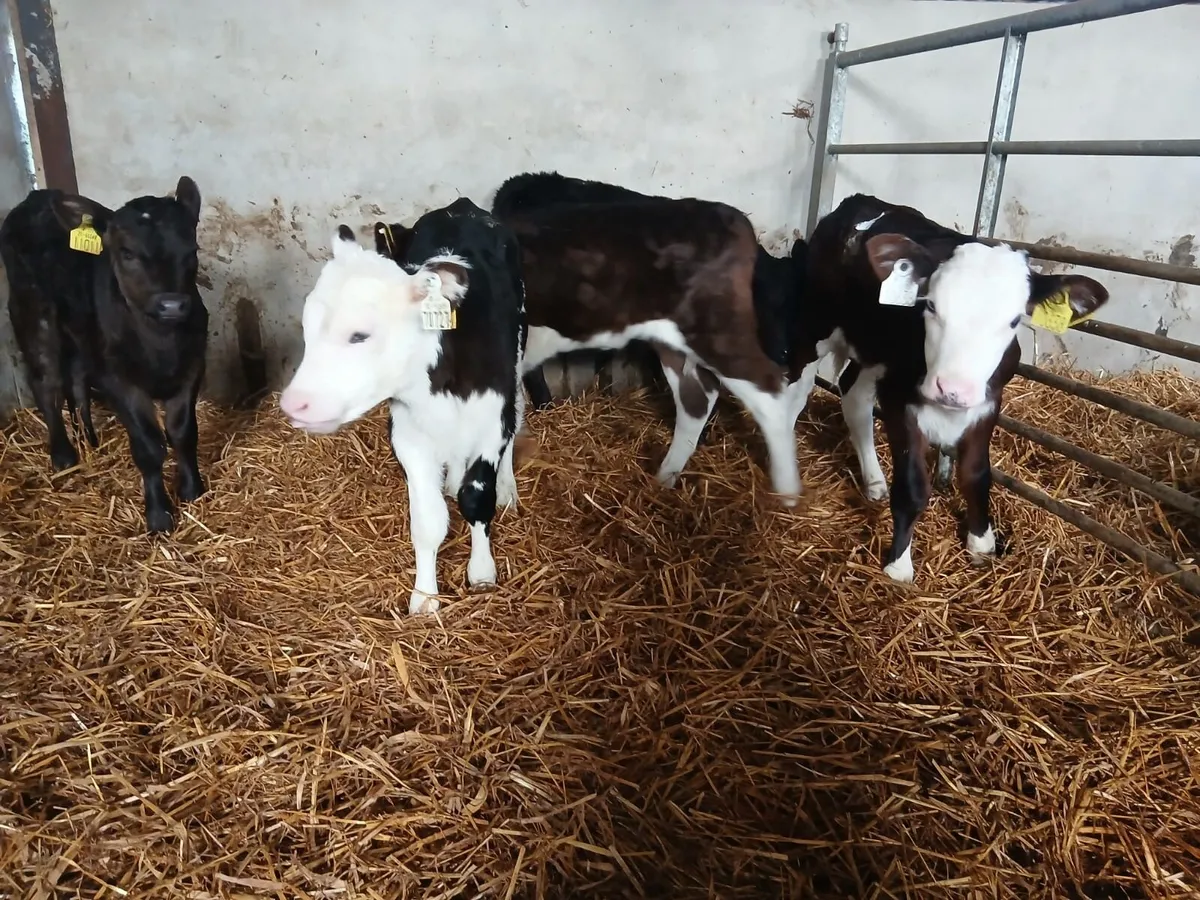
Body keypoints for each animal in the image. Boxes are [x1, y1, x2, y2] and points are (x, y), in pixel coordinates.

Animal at [0, 177, 209, 534]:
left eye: (191, 251)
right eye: (127, 253)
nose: (172, 304)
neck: (162, 346)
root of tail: (36, 197)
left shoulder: (192, 366)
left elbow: (183, 432)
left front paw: (192, 489)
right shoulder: (119, 380)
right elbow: (149, 445)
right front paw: (158, 515)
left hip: (81, 335)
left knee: (76, 379)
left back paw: (89, 437)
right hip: (32, 314)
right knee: (46, 382)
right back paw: (63, 454)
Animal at [279, 198, 526, 616]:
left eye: (360, 335)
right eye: (307, 327)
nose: (294, 403)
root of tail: (461, 207)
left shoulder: (490, 423)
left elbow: (477, 499)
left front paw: (481, 572)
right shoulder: (409, 434)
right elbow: (427, 523)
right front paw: (425, 597)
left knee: (518, 415)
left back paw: (506, 484)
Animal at [797, 193, 1109, 583]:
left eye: (1014, 320)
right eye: (930, 305)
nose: (952, 388)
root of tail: (861, 200)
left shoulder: (988, 401)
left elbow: (976, 475)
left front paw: (981, 544)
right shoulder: (899, 399)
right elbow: (913, 486)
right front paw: (898, 566)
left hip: (874, 353)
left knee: (853, 396)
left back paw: (874, 482)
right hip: (817, 327)